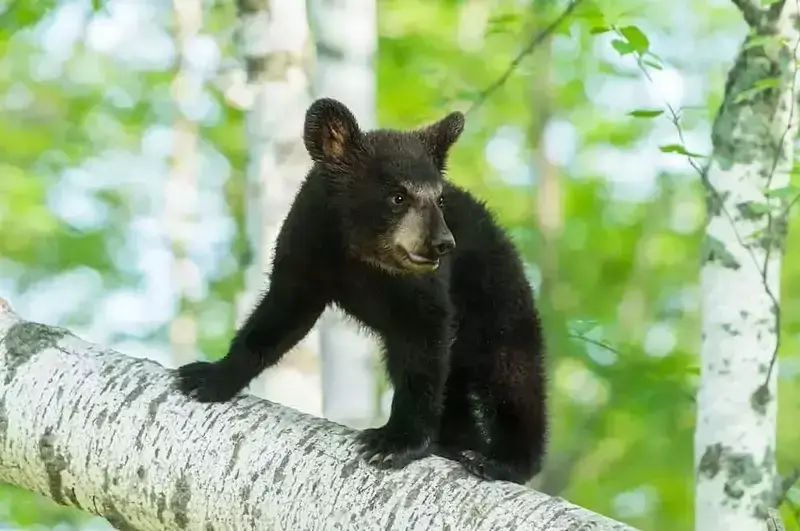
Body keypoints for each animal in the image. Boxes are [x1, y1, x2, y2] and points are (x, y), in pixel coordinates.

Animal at [174, 97, 548, 485]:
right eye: (398, 196)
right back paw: (457, 443)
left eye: (440, 199)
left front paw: (397, 441)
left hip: (495, 294)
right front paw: (209, 376)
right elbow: (277, 317)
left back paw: (504, 460)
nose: (443, 244)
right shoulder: (305, 247)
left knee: (511, 369)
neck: (358, 255)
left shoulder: (423, 288)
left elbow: (423, 345)